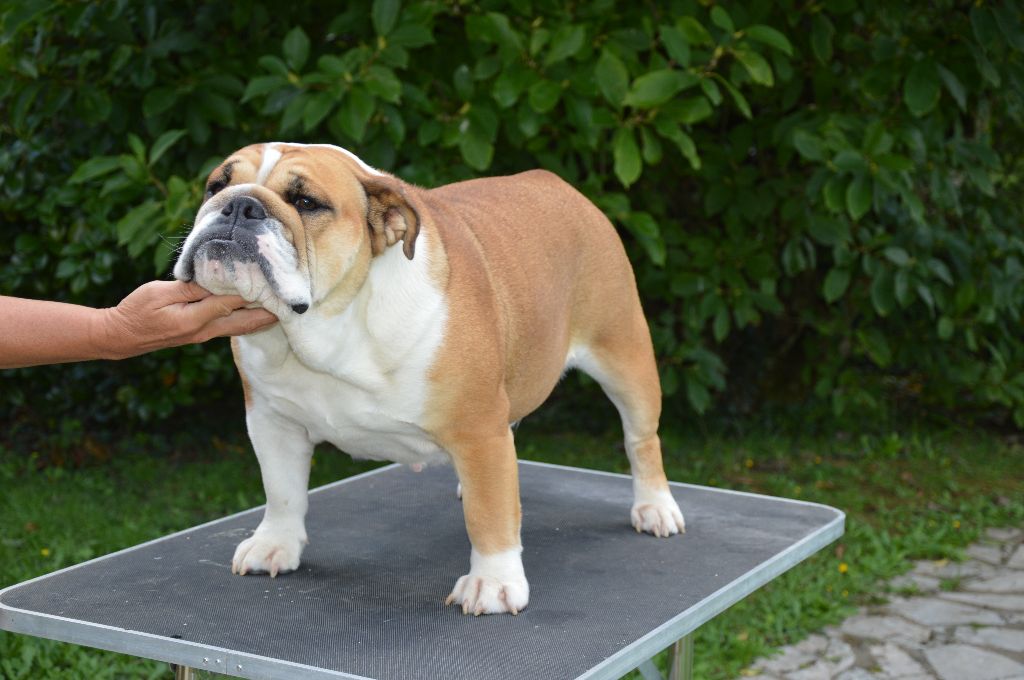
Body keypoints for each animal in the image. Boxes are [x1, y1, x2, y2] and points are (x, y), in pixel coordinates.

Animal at [172, 143, 685, 615]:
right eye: (216, 186)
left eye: (306, 202)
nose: (240, 205)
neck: (326, 325)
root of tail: (560, 185)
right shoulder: (271, 421)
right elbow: (281, 490)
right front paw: (274, 544)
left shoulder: (478, 428)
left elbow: (489, 514)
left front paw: (493, 582)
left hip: (624, 354)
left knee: (642, 438)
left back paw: (655, 507)